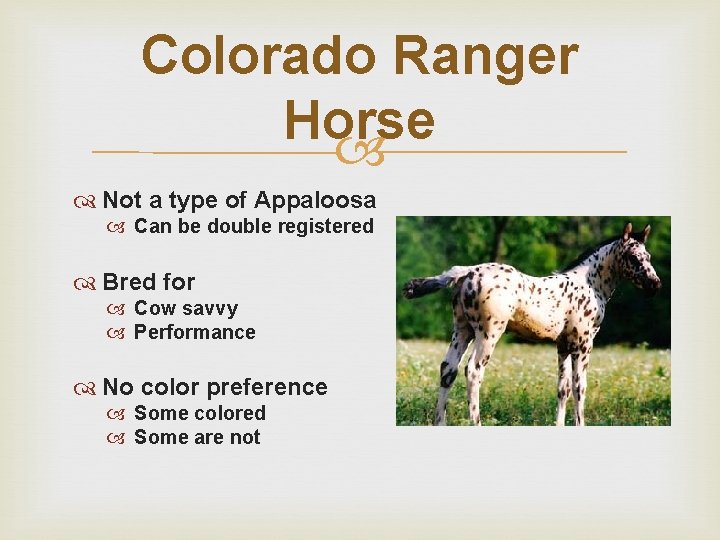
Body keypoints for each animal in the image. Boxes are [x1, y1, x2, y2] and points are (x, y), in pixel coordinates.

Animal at [402, 222, 662, 426]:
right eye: (633, 257)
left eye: (648, 257)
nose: (655, 284)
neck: (590, 283)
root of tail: (468, 272)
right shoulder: (583, 345)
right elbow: (580, 388)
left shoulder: (563, 346)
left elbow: (563, 389)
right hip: (488, 333)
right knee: (473, 371)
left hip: (462, 330)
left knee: (448, 370)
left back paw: (440, 422)